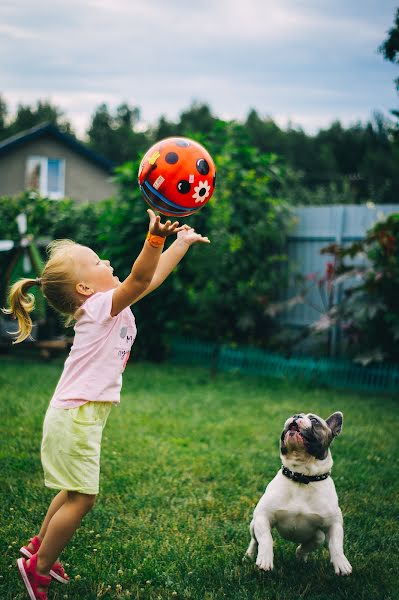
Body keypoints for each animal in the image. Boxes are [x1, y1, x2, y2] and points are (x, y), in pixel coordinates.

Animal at [247, 410, 354, 576]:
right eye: (294, 414)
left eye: (314, 420)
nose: (296, 416)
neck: (302, 476)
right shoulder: (262, 517)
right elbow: (266, 539)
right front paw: (265, 559)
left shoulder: (333, 525)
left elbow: (336, 545)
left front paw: (342, 563)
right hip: (253, 525)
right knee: (255, 540)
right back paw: (250, 554)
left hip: (318, 537)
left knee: (306, 547)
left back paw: (301, 558)